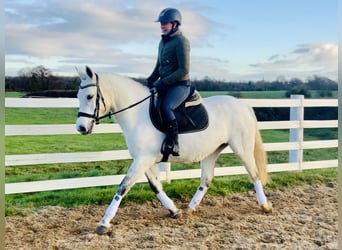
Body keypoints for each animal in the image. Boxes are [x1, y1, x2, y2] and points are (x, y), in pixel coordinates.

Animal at [75, 66, 272, 234]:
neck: (138, 115)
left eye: (90, 96)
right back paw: (190, 208)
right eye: (78, 95)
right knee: (207, 179)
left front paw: (104, 222)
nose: (81, 128)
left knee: (254, 174)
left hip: (242, 148)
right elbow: (155, 186)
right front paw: (174, 210)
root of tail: (242, 104)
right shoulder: (144, 159)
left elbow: (123, 186)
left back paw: (265, 206)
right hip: (212, 151)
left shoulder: (143, 159)